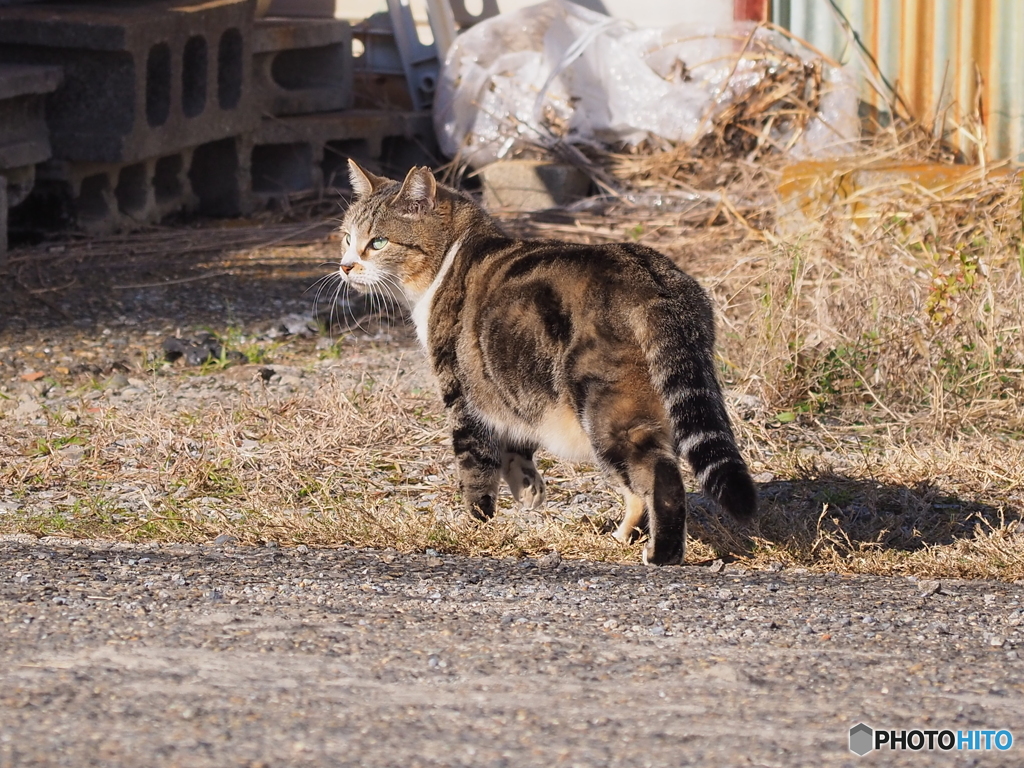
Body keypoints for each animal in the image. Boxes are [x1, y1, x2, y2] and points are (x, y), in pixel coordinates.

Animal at [339, 159, 757, 565]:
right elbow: (516, 442)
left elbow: (475, 467)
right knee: (640, 482)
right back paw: (624, 536)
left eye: (378, 242)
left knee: (659, 473)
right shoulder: (507, 385)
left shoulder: (461, 393)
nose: (345, 266)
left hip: (607, 410)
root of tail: (653, 278)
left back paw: (661, 553)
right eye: (347, 238)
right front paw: (527, 489)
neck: (453, 257)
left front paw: (475, 525)